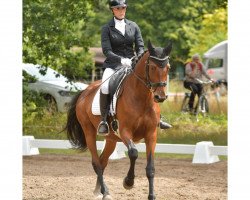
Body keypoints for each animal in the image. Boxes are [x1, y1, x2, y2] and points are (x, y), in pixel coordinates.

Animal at [65, 39, 173, 199]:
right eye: (153, 67)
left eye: (168, 67)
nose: (160, 97)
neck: (142, 99)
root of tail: (84, 92)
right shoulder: (125, 131)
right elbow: (133, 153)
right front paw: (128, 182)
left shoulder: (151, 134)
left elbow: (150, 168)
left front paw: (152, 195)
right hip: (89, 132)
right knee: (96, 163)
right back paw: (105, 193)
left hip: (111, 139)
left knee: (103, 161)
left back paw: (100, 191)